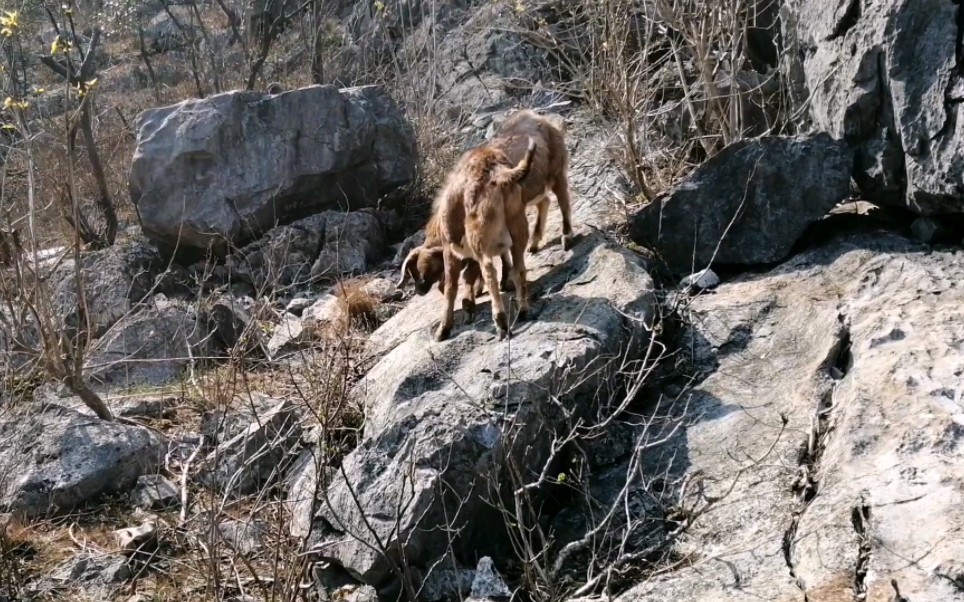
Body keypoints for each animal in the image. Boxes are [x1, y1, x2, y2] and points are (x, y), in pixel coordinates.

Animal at [434, 138, 540, 340]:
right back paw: (523, 311)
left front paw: (443, 329)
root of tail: (499, 174)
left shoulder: (449, 252)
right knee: (519, 268)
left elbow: (451, 287)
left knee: (490, 271)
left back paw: (501, 323)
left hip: (479, 239)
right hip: (517, 225)